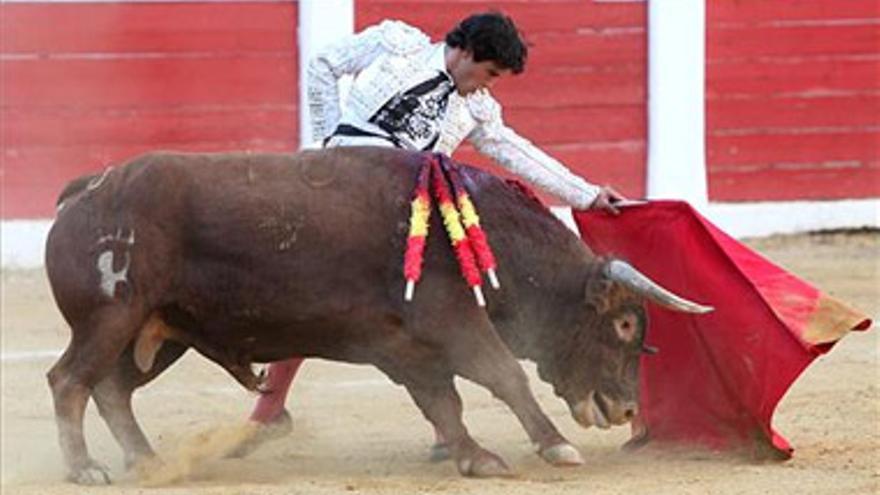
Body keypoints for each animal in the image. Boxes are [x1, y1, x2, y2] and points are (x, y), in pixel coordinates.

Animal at [46, 147, 708, 484]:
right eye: (625, 324)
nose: (626, 409)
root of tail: (89, 186)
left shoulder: (406, 347)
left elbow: (443, 401)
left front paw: (473, 456)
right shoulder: (454, 325)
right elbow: (504, 376)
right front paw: (555, 446)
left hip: (160, 332)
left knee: (111, 388)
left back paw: (147, 460)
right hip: (110, 318)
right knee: (70, 381)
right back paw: (86, 468)